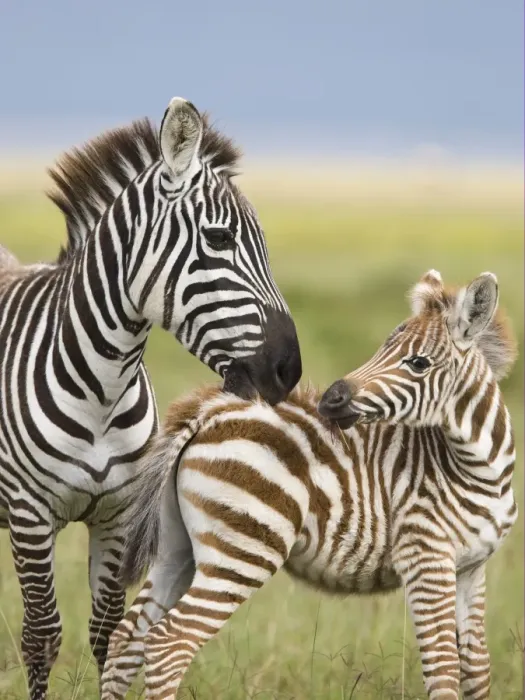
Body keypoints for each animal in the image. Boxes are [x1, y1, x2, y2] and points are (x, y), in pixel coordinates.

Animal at [0, 96, 302, 699]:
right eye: (218, 239)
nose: (290, 369)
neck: (102, 385)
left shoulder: (118, 515)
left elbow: (106, 631)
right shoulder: (29, 514)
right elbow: (41, 636)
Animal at [100, 269, 517, 700]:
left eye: (419, 363)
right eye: (384, 349)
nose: (331, 400)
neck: (478, 470)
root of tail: (209, 414)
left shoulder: (471, 569)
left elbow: (476, 671)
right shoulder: (425, 558)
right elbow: (444, 671)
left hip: (175, 547)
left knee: (127, 638)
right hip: (243, 550)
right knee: (169, 643)